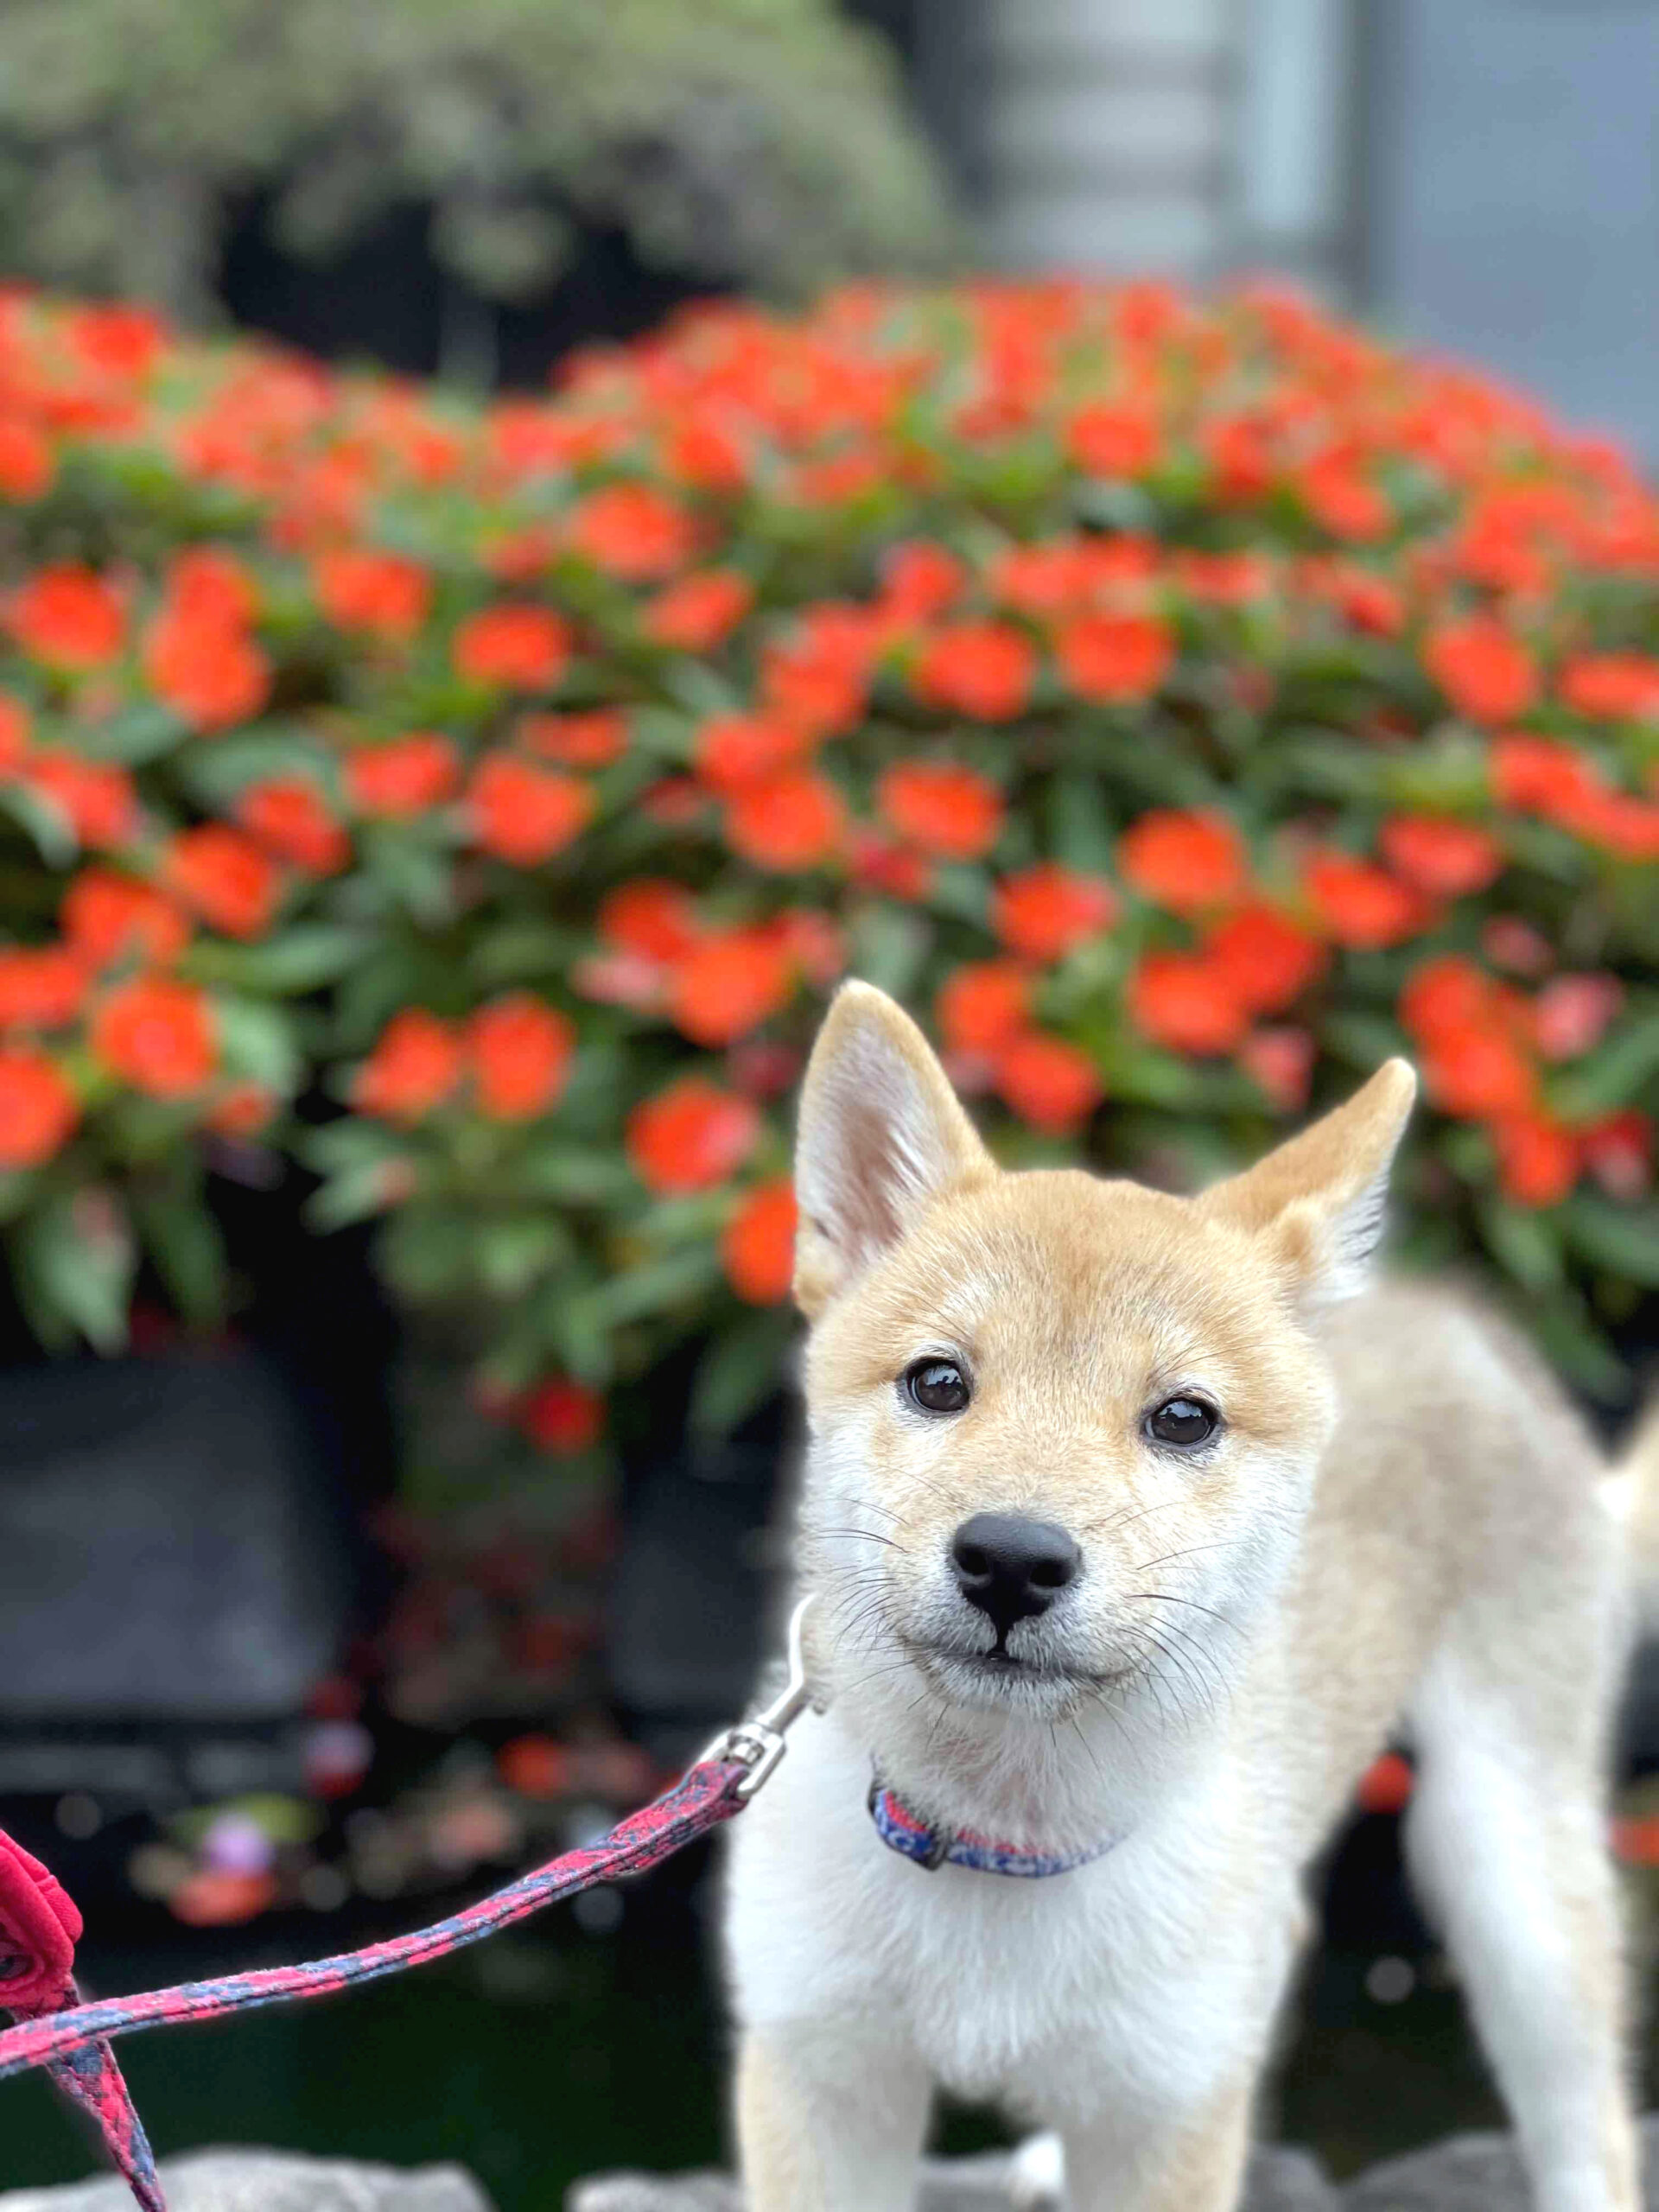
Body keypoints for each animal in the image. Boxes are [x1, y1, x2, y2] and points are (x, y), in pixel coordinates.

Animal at [721, 986, 1654, 2212]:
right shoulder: (823, 2077)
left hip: (1507, 1866)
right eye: (938, 1381)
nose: (1011, 1559)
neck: (1000, 1846)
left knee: (1589, 2118)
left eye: (1183, 1417)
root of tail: (1475, 1336)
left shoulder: (1168, 2119)